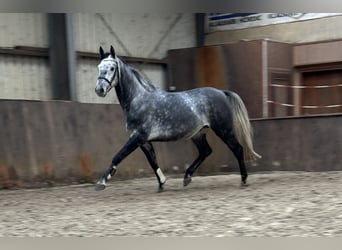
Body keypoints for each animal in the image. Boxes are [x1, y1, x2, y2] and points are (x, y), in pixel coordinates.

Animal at [93, 45, 260, 191]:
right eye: (99, 67)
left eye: (112, 68)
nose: (99, 89)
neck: (138, 100)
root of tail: (222, 92)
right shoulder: (144, 141)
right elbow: (153, 161)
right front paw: (162, 184)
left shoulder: (138, 137)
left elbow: (118, 156)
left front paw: (101, 182)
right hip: (198, 134)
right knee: (206, 151)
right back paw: (187, 177)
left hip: (224, 130)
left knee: (237, 149)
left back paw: (244, 180)